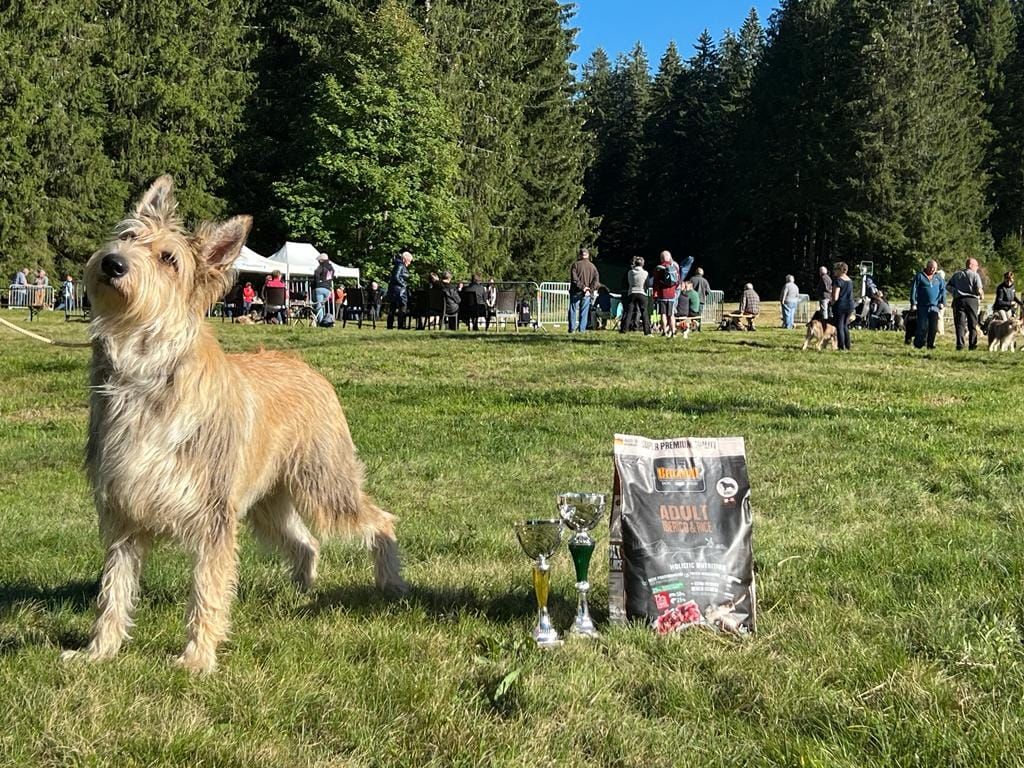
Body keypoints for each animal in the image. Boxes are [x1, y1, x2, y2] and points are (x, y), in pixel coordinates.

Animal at [62, 176, 407, 671]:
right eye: (127, 236)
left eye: (169, 259)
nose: (113, 262)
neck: (144, 372)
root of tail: (305, 366)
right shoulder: (123, 513)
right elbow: (113, 590)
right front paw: (98, 651)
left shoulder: (213, 517)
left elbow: (207, 588)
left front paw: (196, 658)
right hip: (267, 502)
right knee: (306, 542)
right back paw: (301, 592)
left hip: (324, 485)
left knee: (380, 521)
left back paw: (390, 580)